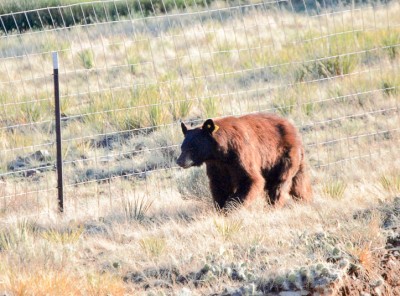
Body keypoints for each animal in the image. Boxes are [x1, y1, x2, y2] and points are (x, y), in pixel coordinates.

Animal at [177, 111, 312, 210]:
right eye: (182, 147)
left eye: (192, 147)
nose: (179, 161)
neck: (221, 153)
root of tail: (294, 129)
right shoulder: (217, 165)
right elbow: (220, 184)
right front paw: (221, 207)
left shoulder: (240, 154)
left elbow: (250, 179)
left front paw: (231, 205)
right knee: (299, 183)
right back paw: (306, 199)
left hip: (281, 156)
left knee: (279, 182)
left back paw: (273, 206)